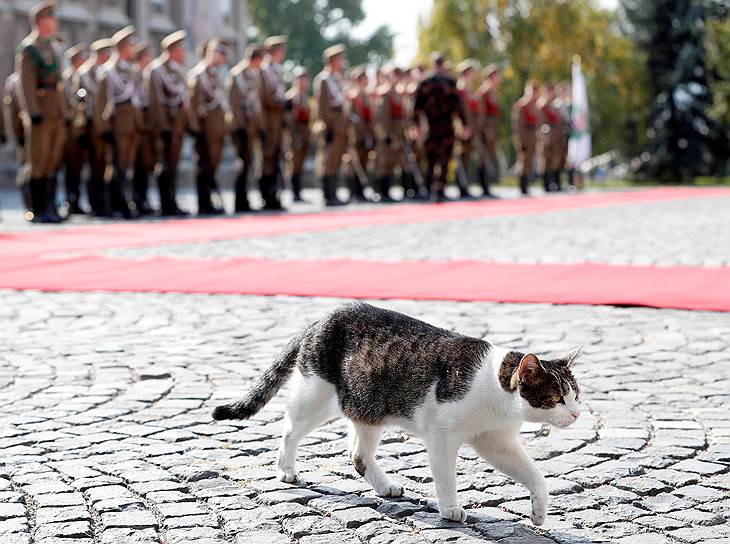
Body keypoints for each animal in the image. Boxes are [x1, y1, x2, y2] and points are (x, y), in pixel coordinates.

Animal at [212, 302, 580, 528]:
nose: (577, 414)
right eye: (556, 398)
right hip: (315, 396)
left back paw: (385, 486)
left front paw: (539, 512)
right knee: (289, 428)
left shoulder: (496, 441)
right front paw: (450, 508)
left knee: (358, 456)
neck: (495, 386)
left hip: (367, 408)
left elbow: (535, 475)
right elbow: (446, 477)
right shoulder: (442, 438)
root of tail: (322, 318)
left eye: (576, 395)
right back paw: (285, 469)